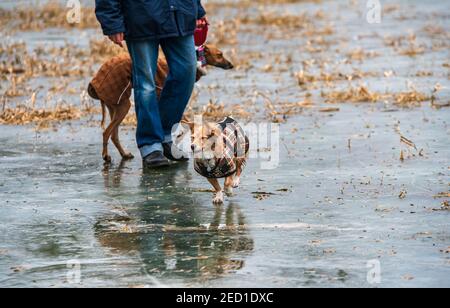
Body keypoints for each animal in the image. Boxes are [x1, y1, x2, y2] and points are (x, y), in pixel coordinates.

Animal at [89, 45, 236, 164]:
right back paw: (106, 156)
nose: (231, 65)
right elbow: (187, 124)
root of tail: (94, 85)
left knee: (113, 135)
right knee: (106, 133)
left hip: (116, 107)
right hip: (123, 106)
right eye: (219, 55)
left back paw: (124, 154)